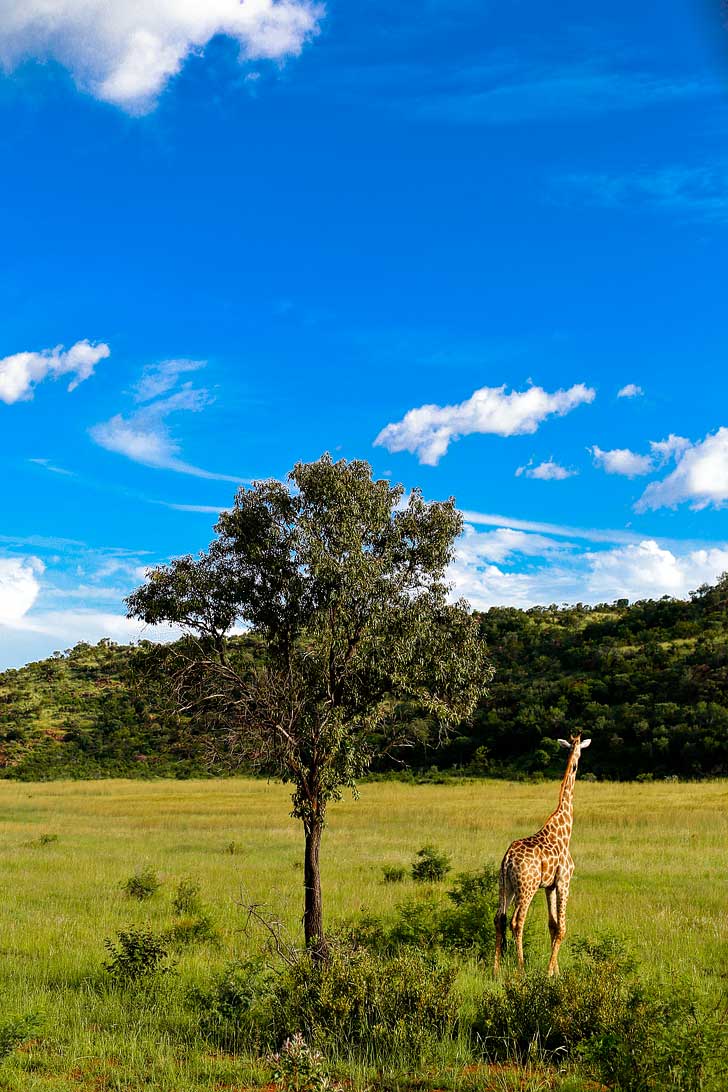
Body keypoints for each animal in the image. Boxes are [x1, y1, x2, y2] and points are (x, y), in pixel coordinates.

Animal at [495, 729, 593, 978]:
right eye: (579, 751)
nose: (577, 761)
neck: (565, 828)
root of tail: (507, 859)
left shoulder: (549, 885)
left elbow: (552, 925)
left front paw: (556, 970)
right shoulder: (565, 880)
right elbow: (562, 927)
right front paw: (550, 972)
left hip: (505, 885)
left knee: (499, 918)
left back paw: (496, 969)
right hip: (526, 887)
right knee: (517, 921)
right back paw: (520, 968)